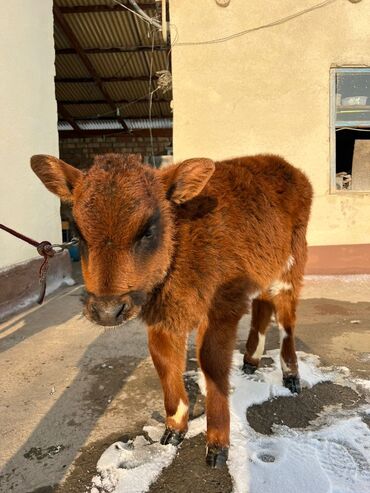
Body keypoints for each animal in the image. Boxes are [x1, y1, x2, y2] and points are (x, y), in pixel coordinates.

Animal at [32, 152, 312, 468]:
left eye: (148, 231)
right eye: (78, 233)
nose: (107, 310)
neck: (182, 243)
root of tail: (284, 166)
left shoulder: (221, 309)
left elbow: (212, 364)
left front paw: (217, 446)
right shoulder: (163, 318)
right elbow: (165, 363)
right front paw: (174, 428)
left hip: (292, 267)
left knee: (286, 317)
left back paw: (291, 375)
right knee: (263, 305)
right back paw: (251, 361)